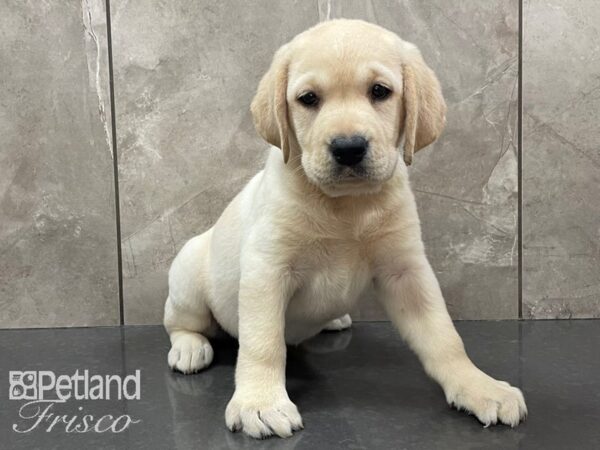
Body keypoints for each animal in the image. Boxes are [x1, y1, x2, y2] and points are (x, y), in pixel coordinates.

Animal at [163, 19, 524, 438]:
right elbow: (263, 342)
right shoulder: (266, 270)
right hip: (188, 278)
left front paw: (480, 386)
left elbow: (445, 338)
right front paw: (261, 402)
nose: (348, 148)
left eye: (380, 91)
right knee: (180, 322)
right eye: (308, 99)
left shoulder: (406, 271)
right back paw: (189, 348)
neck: (346, 206)